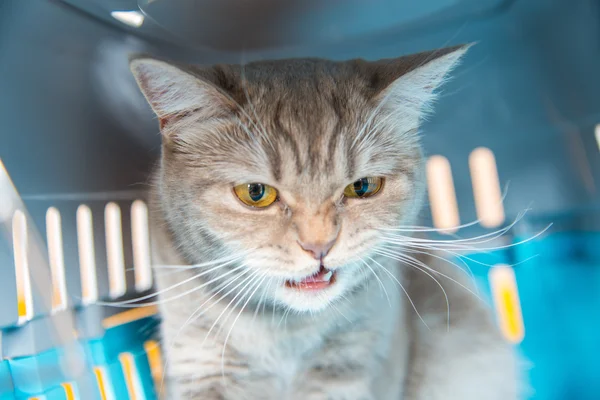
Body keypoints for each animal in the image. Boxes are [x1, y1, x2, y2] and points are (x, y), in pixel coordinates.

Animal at [130, 44, 520, 400]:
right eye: (255, 193)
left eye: (363, 186)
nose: (319, 246)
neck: (285, 331)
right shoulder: (201, 366)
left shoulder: (351, 368)